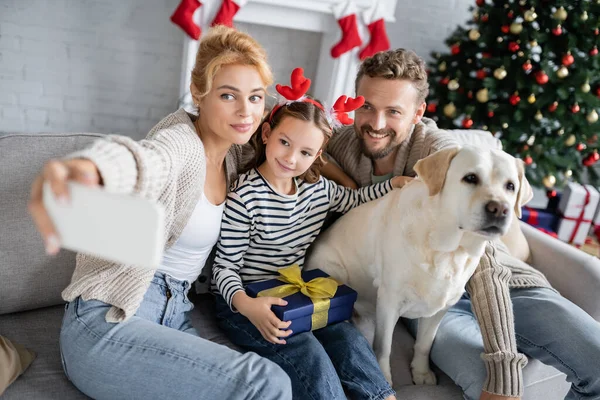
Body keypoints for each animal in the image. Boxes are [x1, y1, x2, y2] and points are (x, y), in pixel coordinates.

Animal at [308, 146, 532, 384]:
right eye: (470, 178)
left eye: (510, 186)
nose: (499, 209)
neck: (448, 251)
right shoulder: (389, 301)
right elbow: (384, 346)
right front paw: (385, 375)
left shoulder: (440, 309)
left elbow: (424, 344)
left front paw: (421, 372)